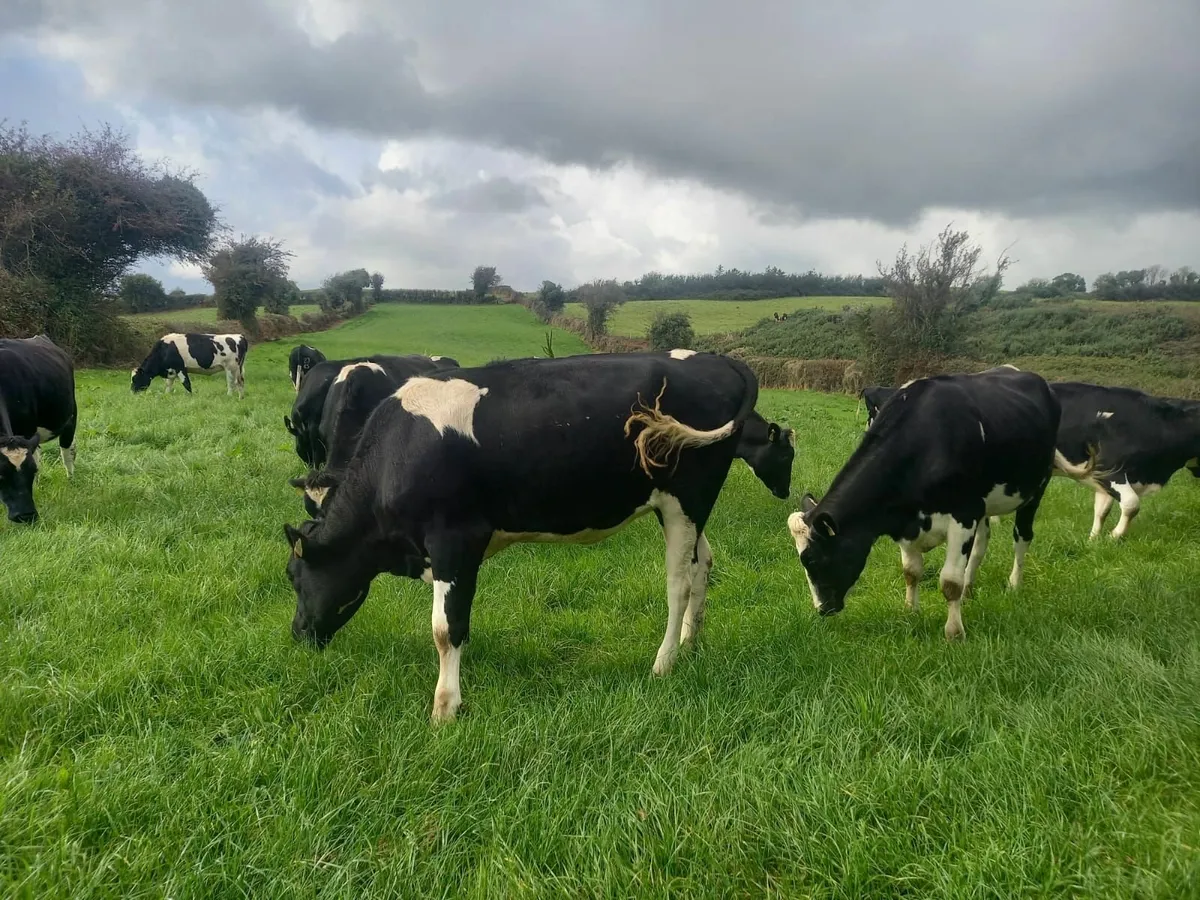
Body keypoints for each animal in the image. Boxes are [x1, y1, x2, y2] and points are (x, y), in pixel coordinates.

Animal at [0, 335, 78, 524]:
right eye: (0, 475)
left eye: (32, 471)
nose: (26, 515)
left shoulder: (27, 430)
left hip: (70, 417)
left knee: (67, 451)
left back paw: (70, 479)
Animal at [786, 366, 1098, 642]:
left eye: (812, 559)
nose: (822, 609)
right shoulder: (905, 520)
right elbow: (911, 572)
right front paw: (910, 611)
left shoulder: (963, 515)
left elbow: (949, 582)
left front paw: (954, 632)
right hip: (985, 505)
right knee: (981, 545)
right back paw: (971, 588)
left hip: (1035, 488)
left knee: (1022, 538)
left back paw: (1013, 584)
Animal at [1051, 381, 1200, 540]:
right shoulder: (1109, 470)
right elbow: (1131, 504)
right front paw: (1113, 536)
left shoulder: (1101, 477)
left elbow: (1102, 510)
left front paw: (1093, 540)